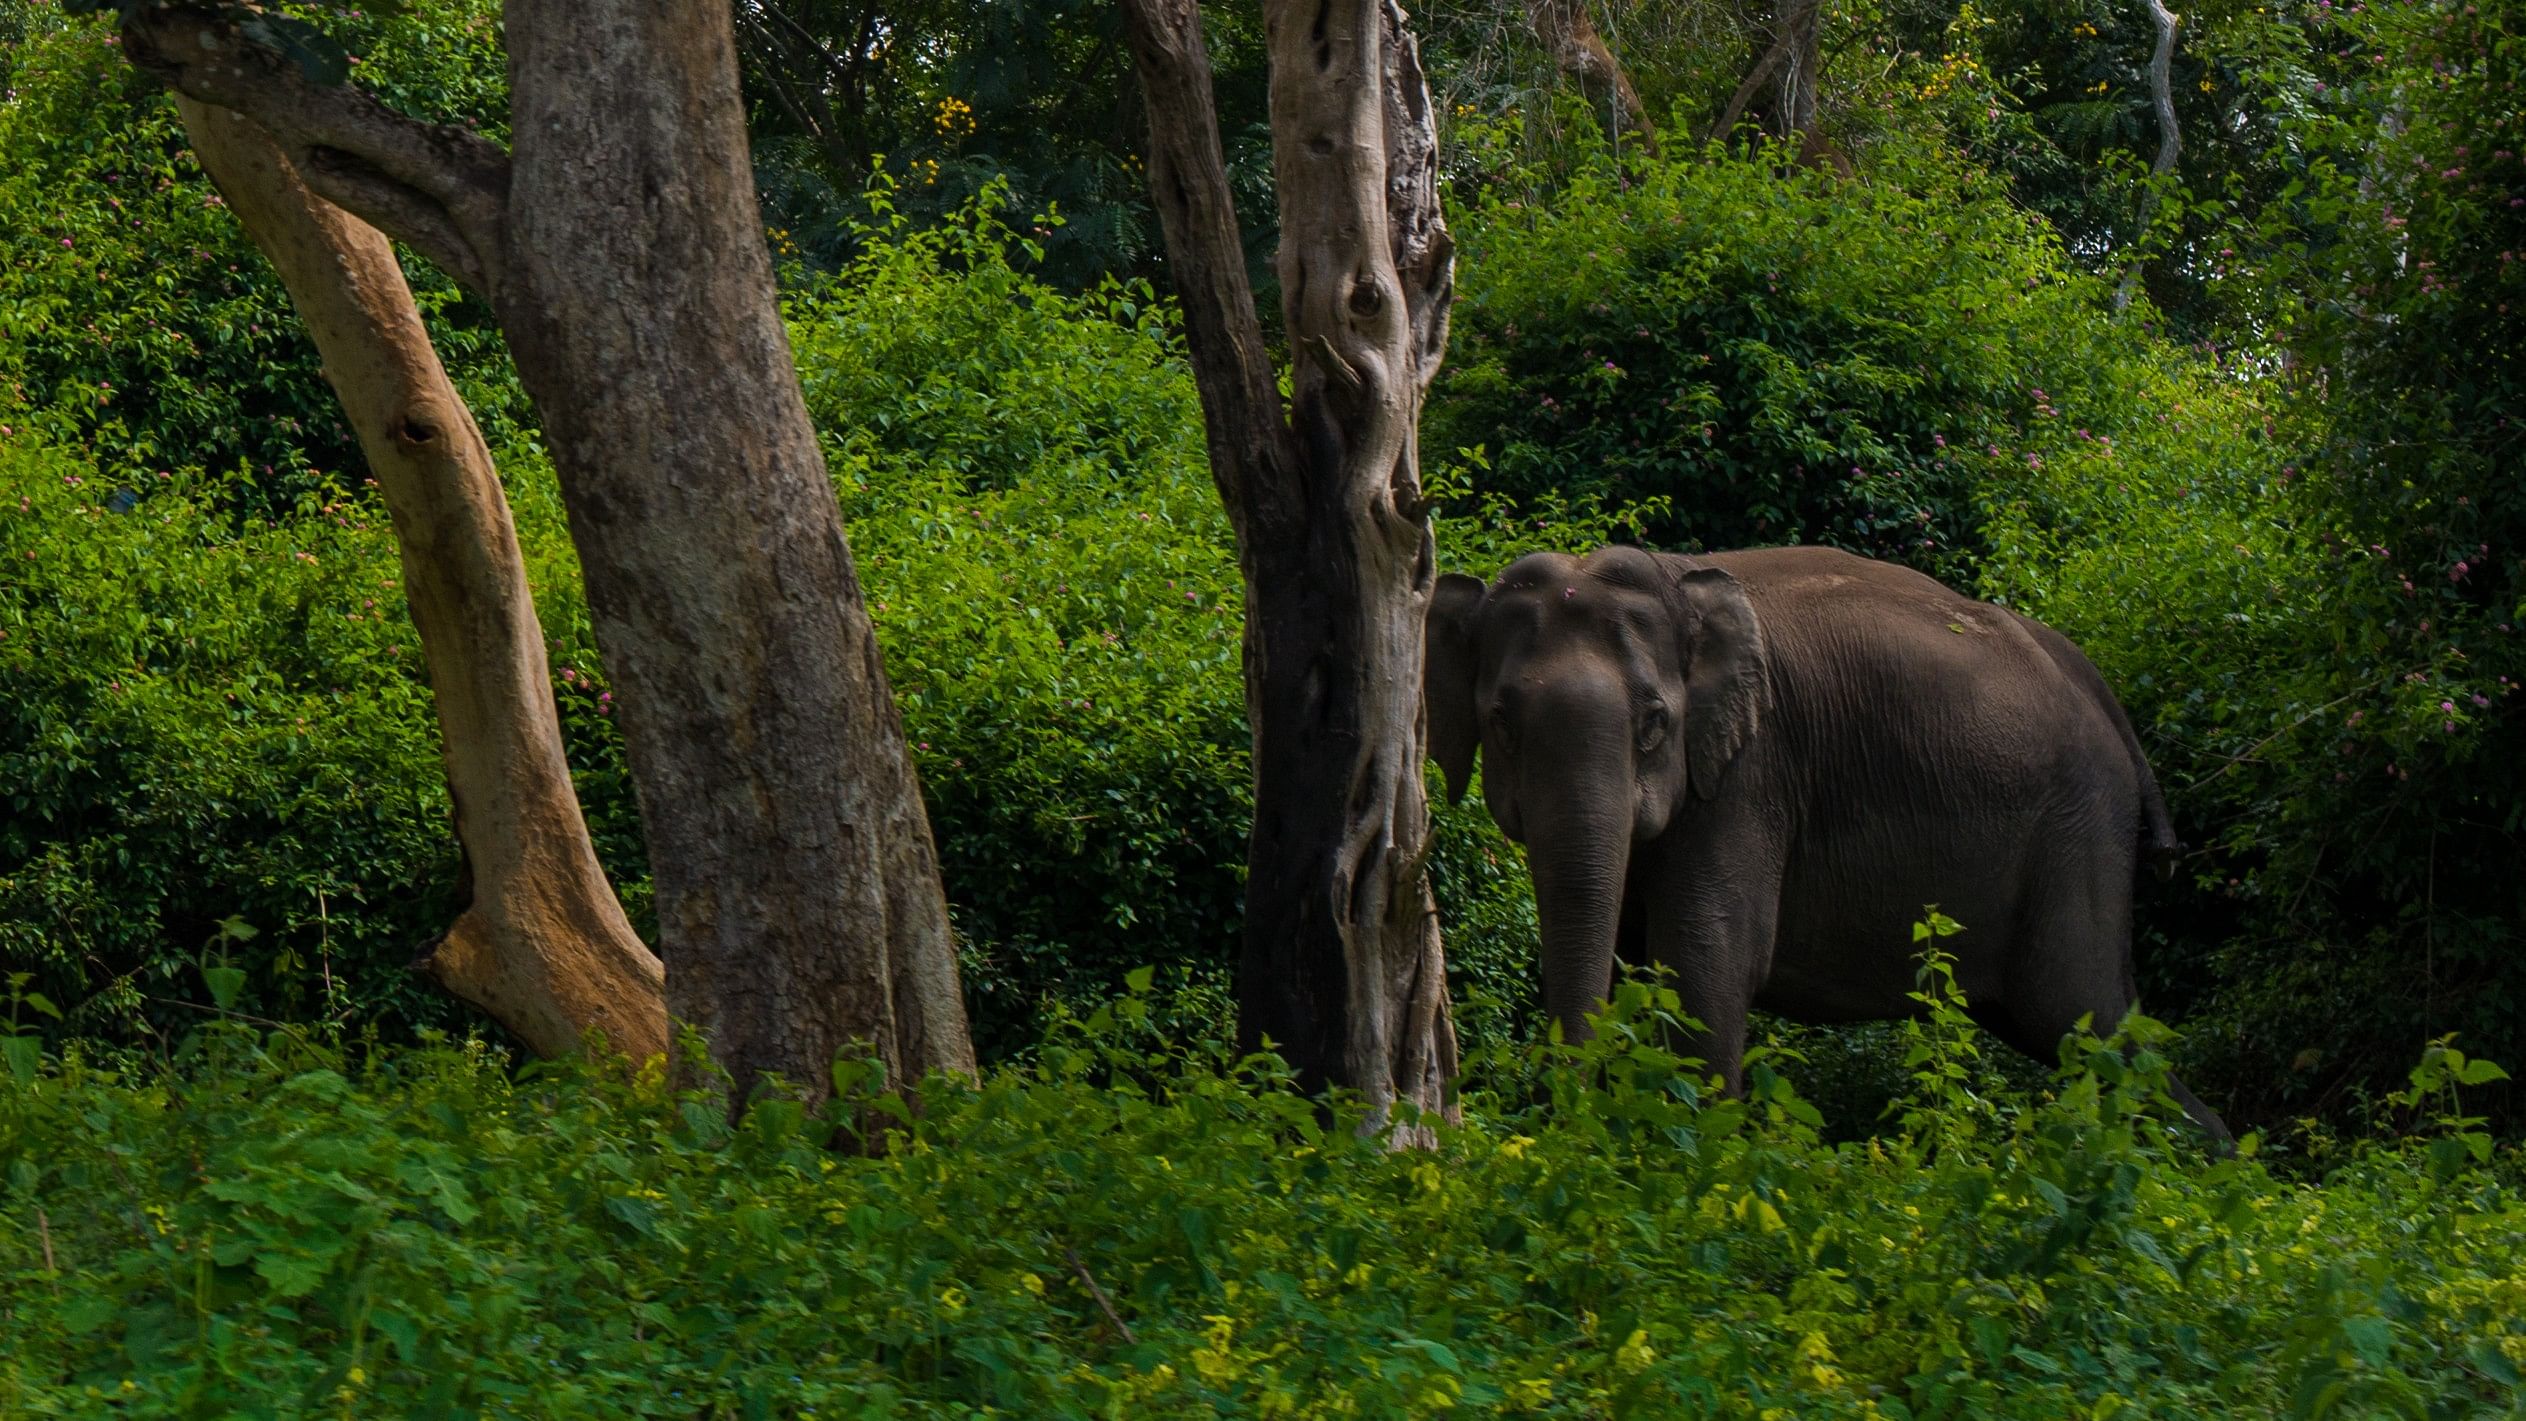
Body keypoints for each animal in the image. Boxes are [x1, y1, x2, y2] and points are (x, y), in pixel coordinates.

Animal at [1424, 545, 2232, 1145]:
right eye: (1501, 722)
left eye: (1654, 723)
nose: (1563, 1126)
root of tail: (2101, 691)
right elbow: (1634, 956)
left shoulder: (1751, 774)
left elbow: (1705, 961)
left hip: (2078, 830)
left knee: (2085, 1022)